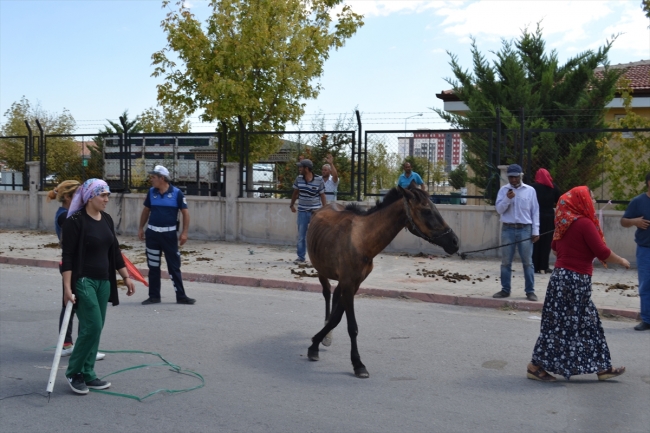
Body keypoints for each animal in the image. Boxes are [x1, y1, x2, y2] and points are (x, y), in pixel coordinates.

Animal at [306, 181, 458, 376]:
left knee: (334, 295)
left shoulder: (353, 283)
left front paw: (318, 341)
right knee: (326, 292)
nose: (454, 242)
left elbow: (337, 318)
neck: (362, 240)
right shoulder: (348, 283)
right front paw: (357, 363)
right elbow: (351, 326)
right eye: (426, 211)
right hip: (322, 270)